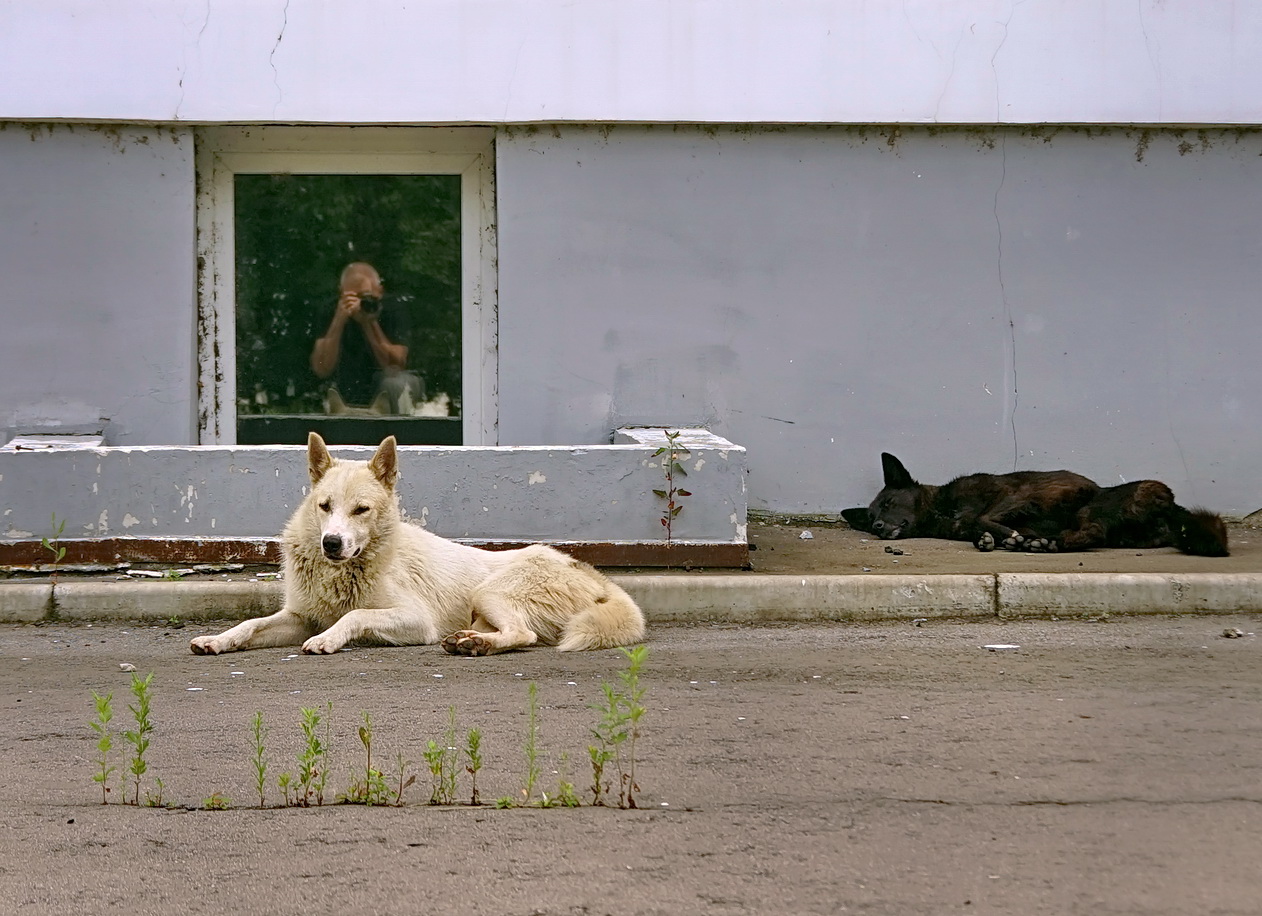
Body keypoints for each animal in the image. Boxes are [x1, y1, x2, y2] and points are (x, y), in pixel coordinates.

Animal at [191, 434, 646, 656]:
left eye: (361, 510)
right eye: (325, 506)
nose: (332, 543)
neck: (348, 568)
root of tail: (591, 573)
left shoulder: (417, 620)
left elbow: (355, 614)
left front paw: (329, 640)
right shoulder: (300, 616)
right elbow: (251, 624)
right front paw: (218, 639)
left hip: (490, 592)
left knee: (524, 634)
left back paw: (478, 646)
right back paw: (468, 640)